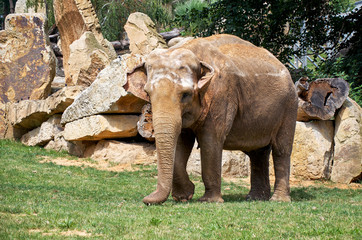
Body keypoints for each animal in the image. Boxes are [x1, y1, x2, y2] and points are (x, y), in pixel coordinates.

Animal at [136, 33, 296, 204]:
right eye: (147, 93)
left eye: (186, 95)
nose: (146, 200)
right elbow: (181, 140)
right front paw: (184, 196)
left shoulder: (221, 94)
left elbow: (210, 140)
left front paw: (208, 201)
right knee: (258, 153)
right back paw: (256, 198)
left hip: (289, 106)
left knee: (281, 150)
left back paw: (278, 200)